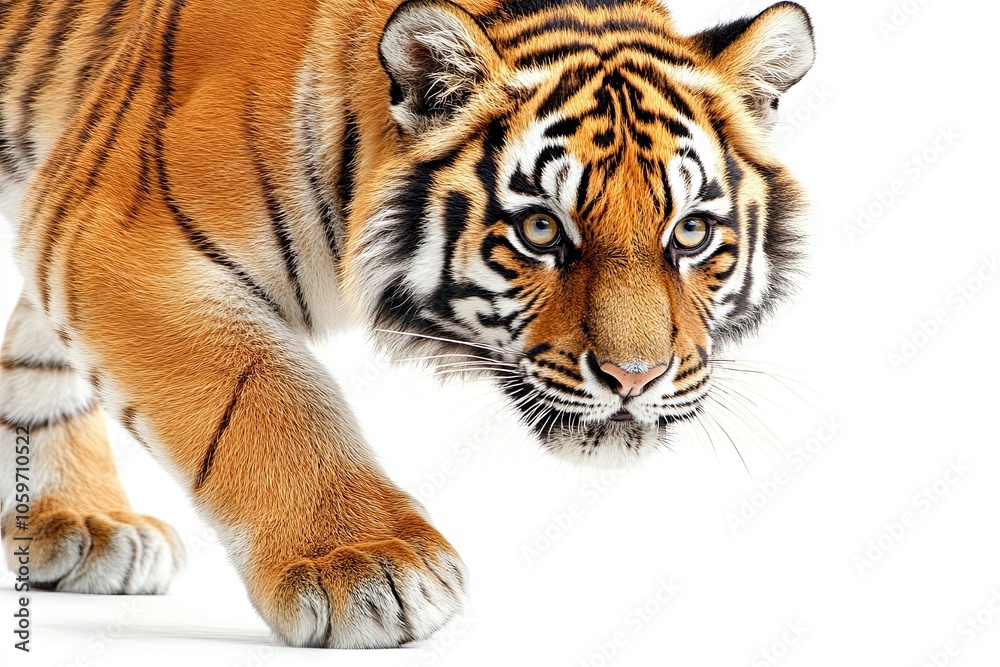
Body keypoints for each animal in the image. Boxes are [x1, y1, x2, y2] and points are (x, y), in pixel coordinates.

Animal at [0, 0, 815, 649]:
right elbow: (261, 396)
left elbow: (37, 352)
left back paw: (78, 522)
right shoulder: (114, 236)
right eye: (542, 230)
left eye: (691, 233)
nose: (634, 377)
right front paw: (361, 565)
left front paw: (64, 510)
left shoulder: (62, 222)